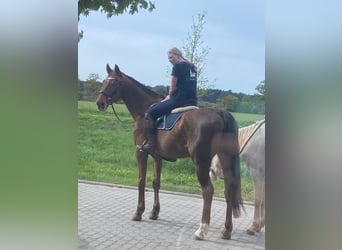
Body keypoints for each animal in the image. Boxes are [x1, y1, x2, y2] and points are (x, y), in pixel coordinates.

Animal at [95, 64, 242, 240]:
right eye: (104, 82)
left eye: (114, 83)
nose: (100, 103)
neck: (144, 111)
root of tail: (220, 113)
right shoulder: (157, 157)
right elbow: (156, 182)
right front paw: (154, 212)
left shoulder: (140, 152)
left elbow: (141, 181)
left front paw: (138, 212)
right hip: (224, 158)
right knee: (229, 189)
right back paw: (226, 230)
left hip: (201, 161)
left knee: (208, 191)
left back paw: (201, 230)